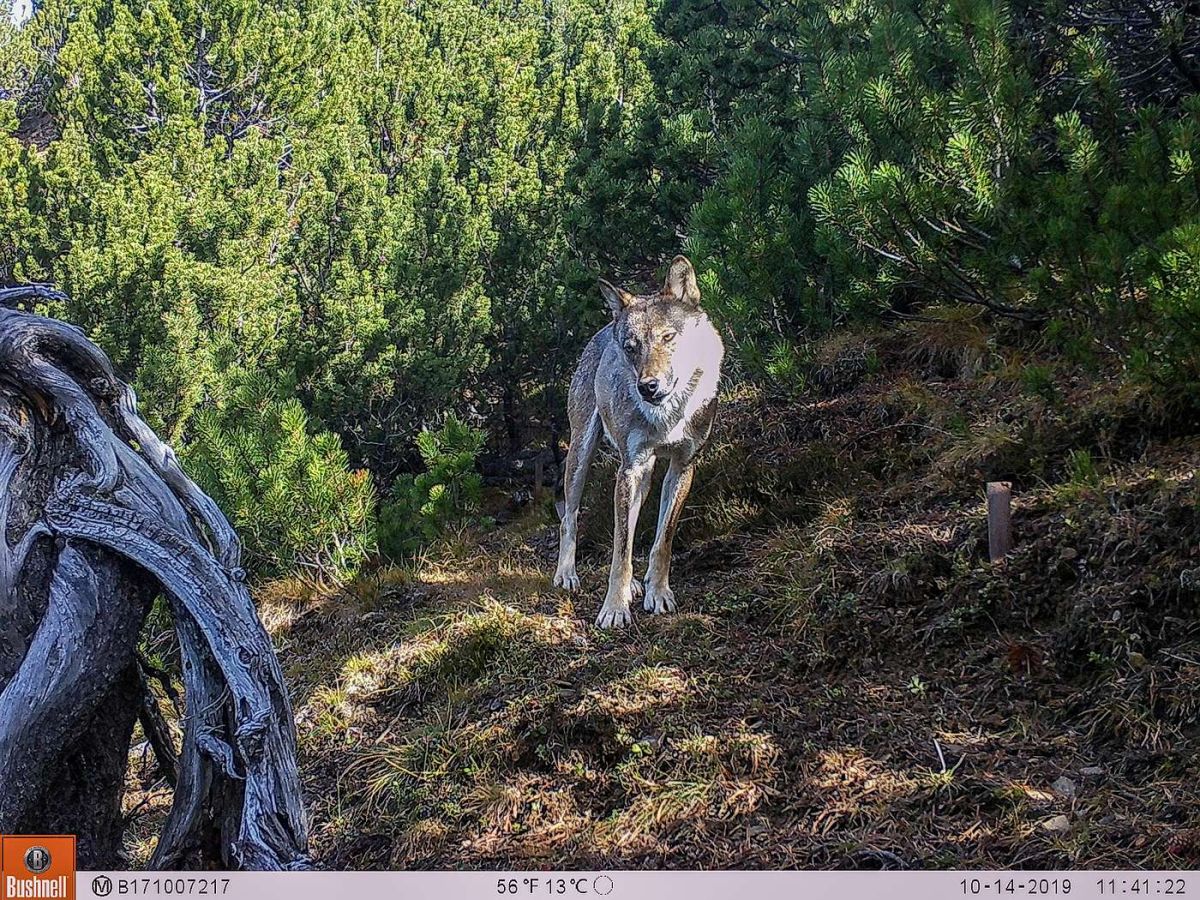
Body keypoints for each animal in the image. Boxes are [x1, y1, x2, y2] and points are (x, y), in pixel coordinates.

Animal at [553, 256, 725, 628]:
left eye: (668, 337)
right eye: (631, 348)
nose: (648, 386)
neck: (668, 417)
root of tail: (602, 330)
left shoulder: (682, 466)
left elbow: (662, 541)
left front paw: (657, 593)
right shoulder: (631, 469)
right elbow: (622, 549)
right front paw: (614, 608)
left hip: (643, 479)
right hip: (582, 457)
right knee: (570, 518)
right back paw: (567, 574)